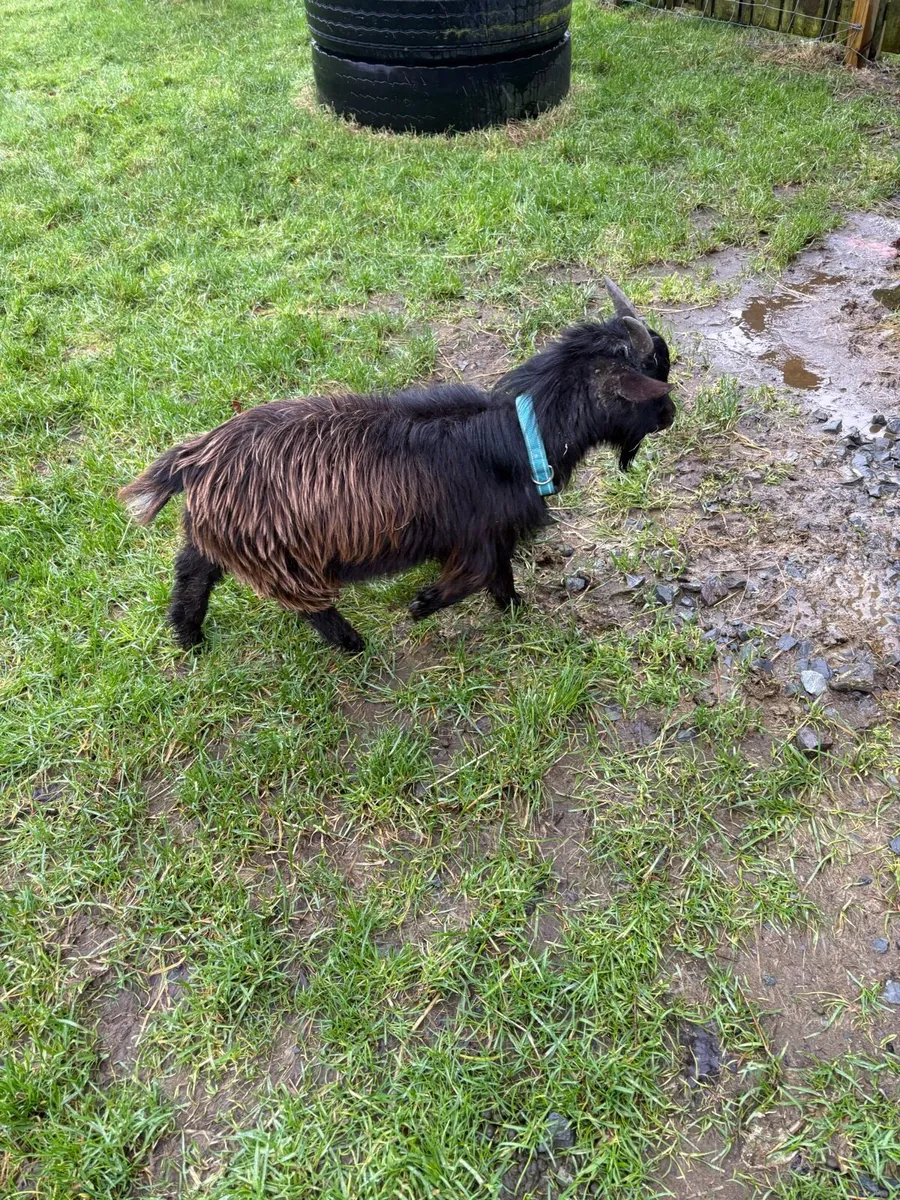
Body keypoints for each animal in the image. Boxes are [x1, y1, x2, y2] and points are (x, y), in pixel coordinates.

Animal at [119, 279, 674, 653]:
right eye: (653, 374)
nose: (671, 414)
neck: (518, 433)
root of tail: (196, 461)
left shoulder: (493, 533)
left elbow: (499, 577)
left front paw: (514, 609)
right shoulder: (477, 532)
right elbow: (476, 575)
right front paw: (423, 604)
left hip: (221, 537)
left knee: (192, 572)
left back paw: (189, 636)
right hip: (282, 556)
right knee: (307, 604)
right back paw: (351, 643)